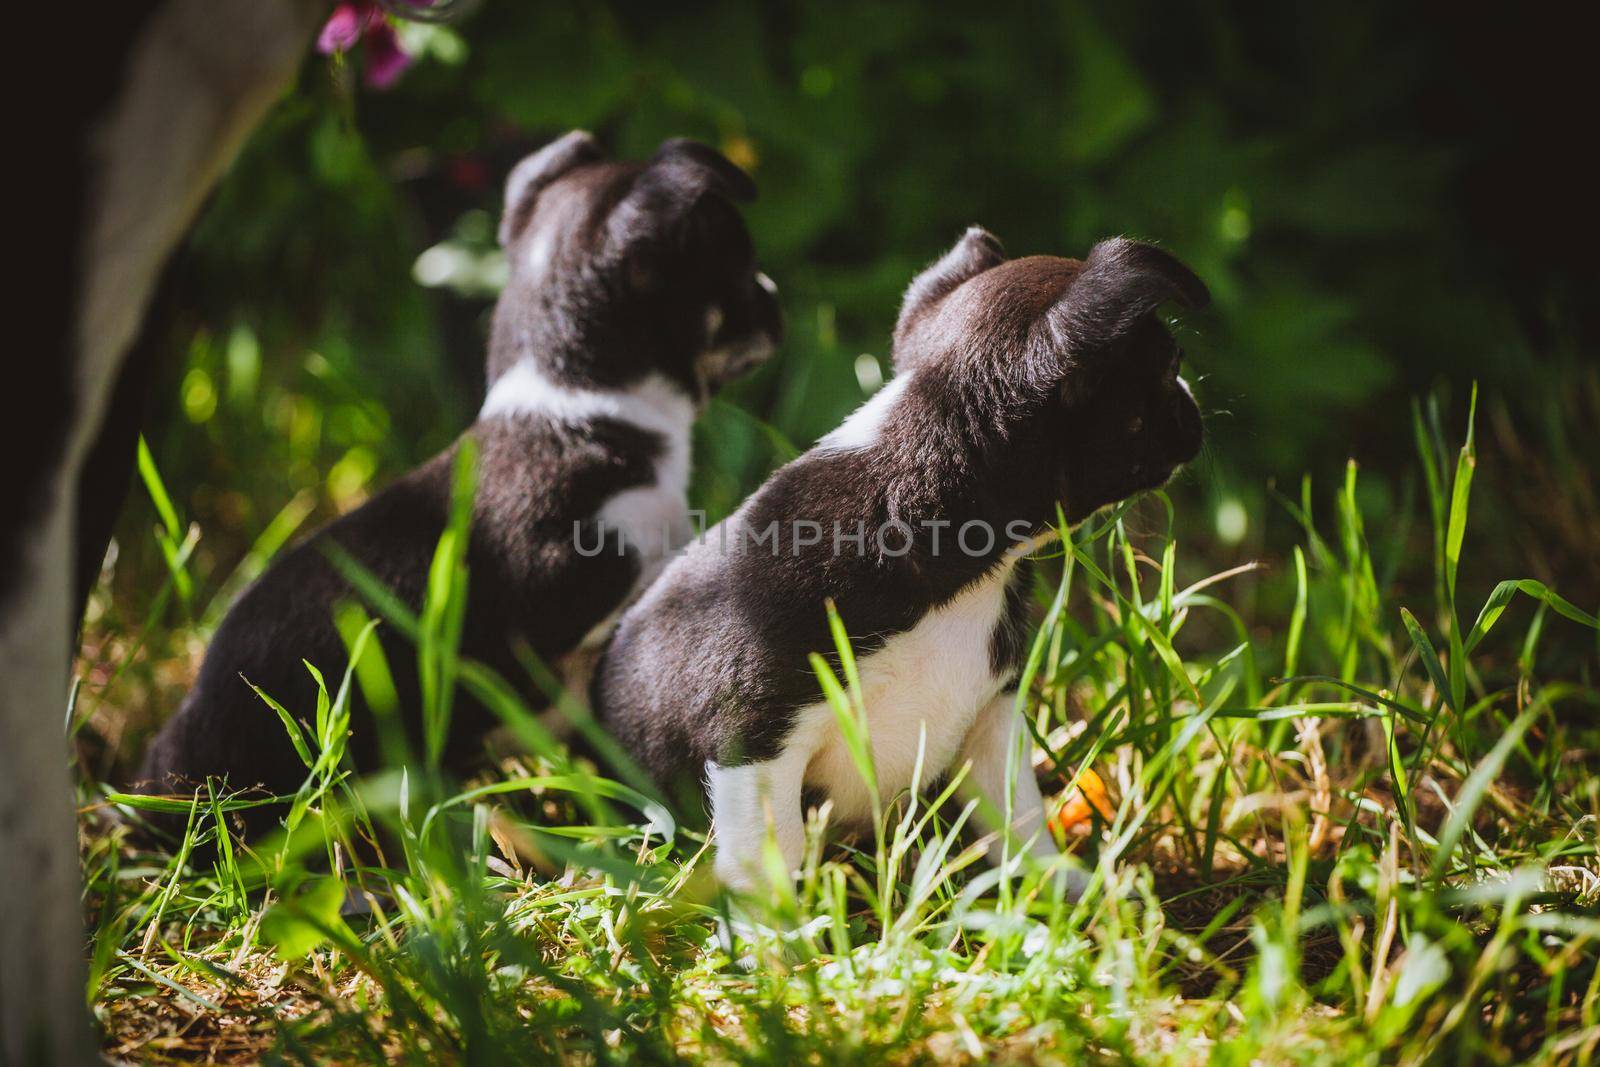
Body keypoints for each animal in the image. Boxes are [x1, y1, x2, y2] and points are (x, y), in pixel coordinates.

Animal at [595, 230, 1203, 895]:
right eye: (1170, 369)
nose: (1194, 406)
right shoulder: (753, 739)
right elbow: (773, 851)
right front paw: (784, 927)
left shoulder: (992, 713)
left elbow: (1017, 816)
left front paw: (1055, 890)